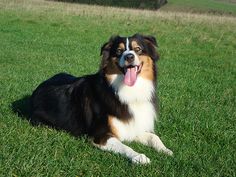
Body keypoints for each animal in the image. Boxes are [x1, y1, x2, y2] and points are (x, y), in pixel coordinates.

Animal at [30, 34, 172, 164]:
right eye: (119, 51)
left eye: (138, 49)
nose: (129, 57)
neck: (125, 91)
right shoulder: (100, 135)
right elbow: (125, 146)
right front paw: (139, 157)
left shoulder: (131, 126)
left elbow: (154, 137)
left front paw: (165, 150)